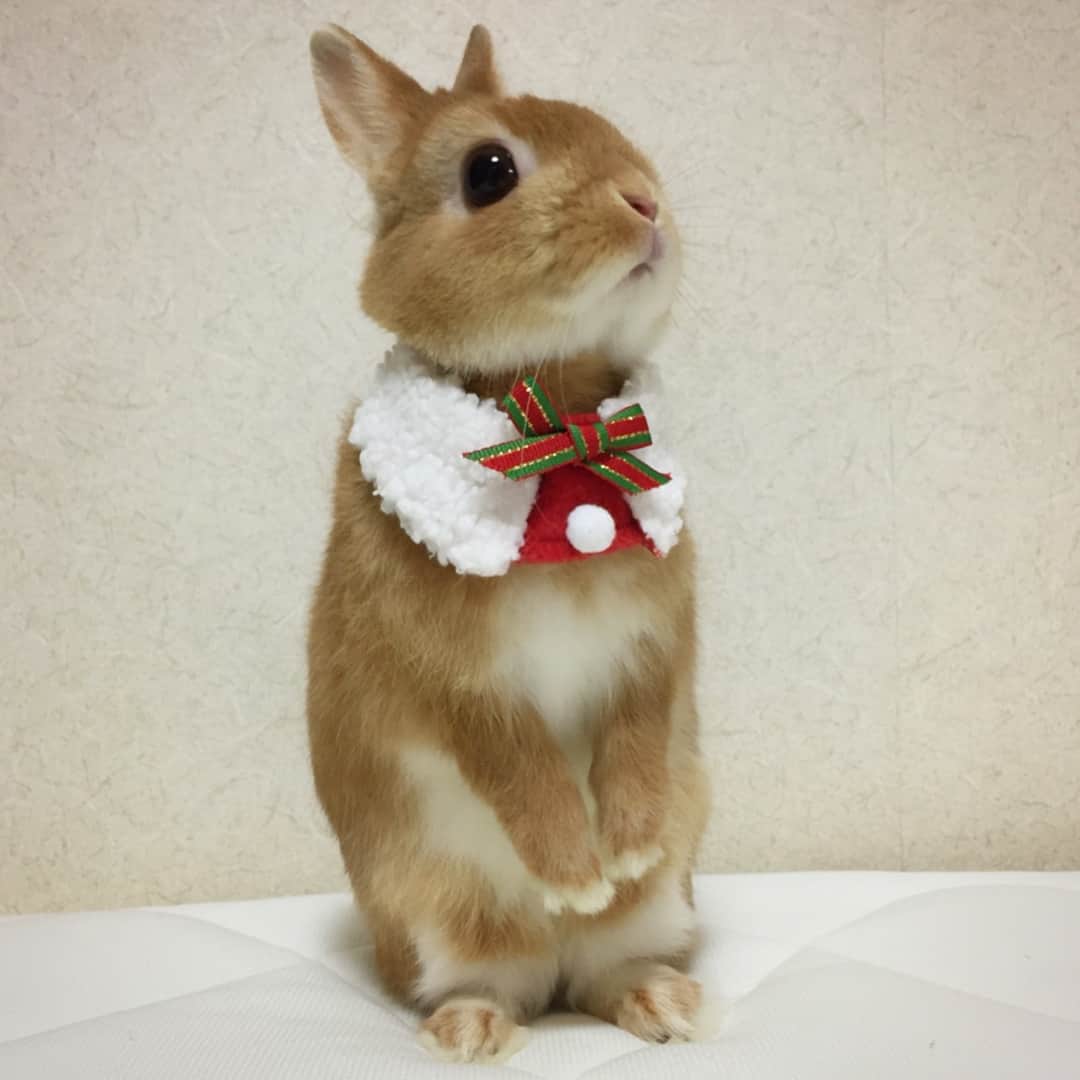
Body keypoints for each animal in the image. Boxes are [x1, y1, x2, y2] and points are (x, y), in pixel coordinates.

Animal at [306, 23, 711, 1065]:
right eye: (488, 172)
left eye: (610, 128)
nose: (645, 199)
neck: (559, 423)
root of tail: (551, 968)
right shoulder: (456, 683)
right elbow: (517, 767)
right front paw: (577, 870)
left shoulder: (651, 646)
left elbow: (637, 729)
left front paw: (629, 846)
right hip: (433, 914)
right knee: (495, 973)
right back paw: (476, 1027)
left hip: (663, 905)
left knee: (608, 972)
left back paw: (663, 1003)